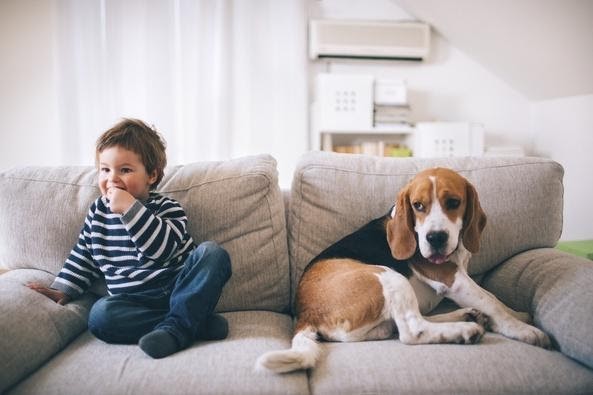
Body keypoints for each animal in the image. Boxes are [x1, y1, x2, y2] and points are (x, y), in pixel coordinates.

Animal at [256, 167, 548, 374]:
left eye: (453, 202)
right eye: (418, 206)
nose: (435, 238)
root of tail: (305, 314)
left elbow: (494, 298)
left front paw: (518, 315)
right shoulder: (452, 279)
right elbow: (492, 301)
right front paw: (524, 330)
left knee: (402, 325)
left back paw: (465, 315)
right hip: (388, 276)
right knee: (411, 331)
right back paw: (464, 330)